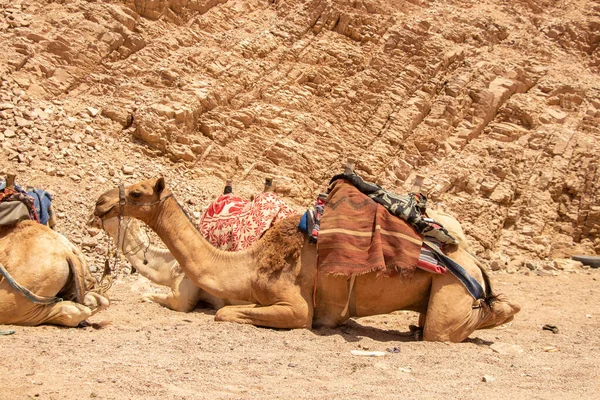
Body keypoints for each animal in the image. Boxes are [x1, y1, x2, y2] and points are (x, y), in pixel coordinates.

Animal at [94, 177, 520, 340]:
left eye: (137, 193)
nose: (100, 202)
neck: (245, 264)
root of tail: (474, 265)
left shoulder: (297, 307)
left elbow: (225, 312)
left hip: (451, 289)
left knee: (447, 328)